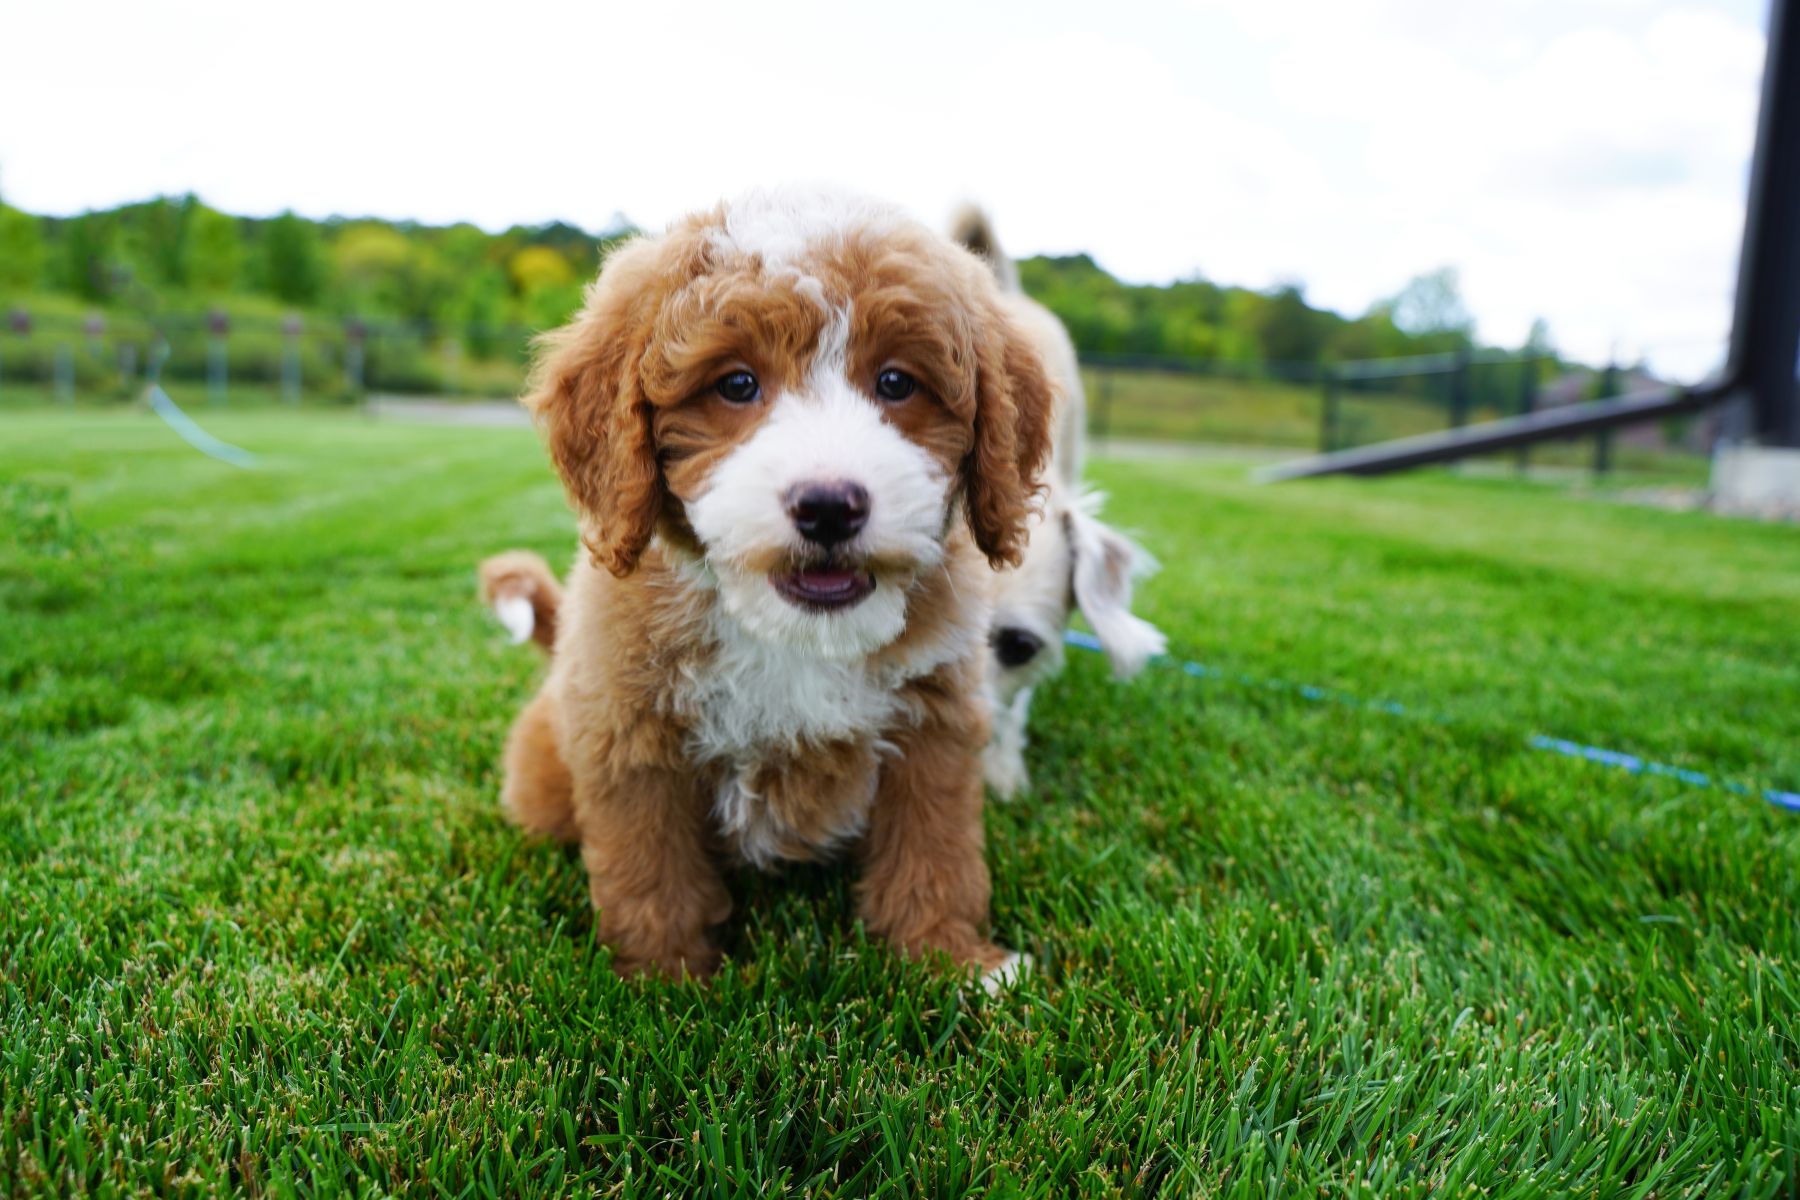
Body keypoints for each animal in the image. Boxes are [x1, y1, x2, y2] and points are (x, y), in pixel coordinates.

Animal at [478, 189, 1051, 985]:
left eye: (897, 382)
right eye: (737, 384)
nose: (830, 505)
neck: (792, 631)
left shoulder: (934, 721)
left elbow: (934, 847)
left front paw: (952, 959)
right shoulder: (631, 734)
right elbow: (648, 866)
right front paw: (665, 978)